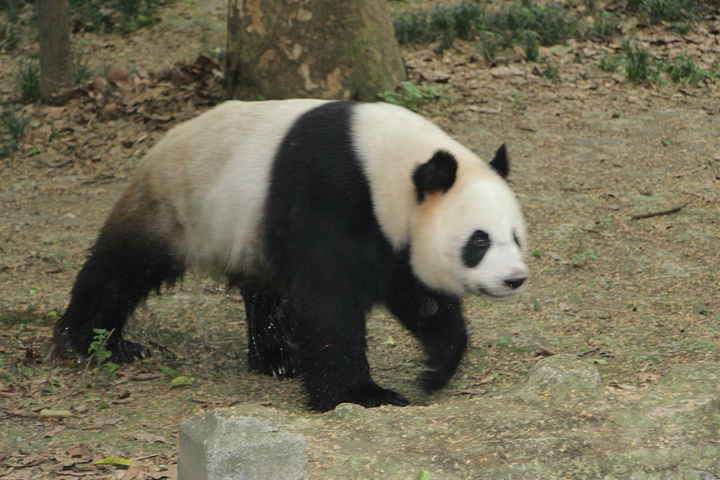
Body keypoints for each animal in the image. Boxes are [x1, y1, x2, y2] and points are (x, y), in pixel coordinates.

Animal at [53, 98, 528, 412]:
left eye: (516, 236)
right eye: (479, 241)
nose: (514, 279)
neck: (389, 165)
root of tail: (162, 141)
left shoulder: (391, 234)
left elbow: (420, 299)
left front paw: (434, 371)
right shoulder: (336, 193)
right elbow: (329, 301)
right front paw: (362, 396)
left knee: (264, 291)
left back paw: (278, 357)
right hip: (175, 206)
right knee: (123, 269)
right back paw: (94, 342)